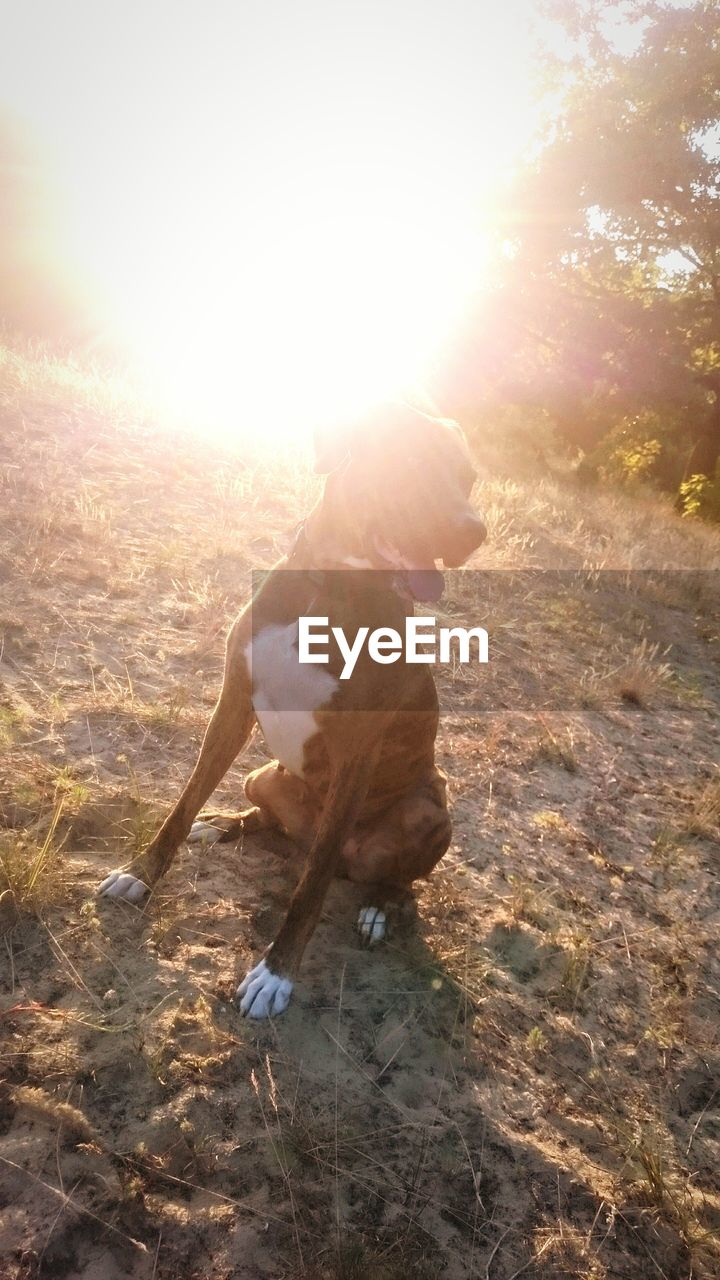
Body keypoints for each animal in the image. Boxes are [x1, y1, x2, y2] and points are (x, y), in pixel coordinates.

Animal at [98, 401, 484, 1018]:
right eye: (416, 465)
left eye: (469, 480)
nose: (474, 531)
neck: (330, 587)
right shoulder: (233, 705)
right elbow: (184, 801)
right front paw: (141, 874)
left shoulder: (356, 754)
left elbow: (314, 881)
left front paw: (276, 973)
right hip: (261, 775)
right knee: (267, 820)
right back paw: (222, 826)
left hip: (427, 810)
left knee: (387, 878)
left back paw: (377, 908)